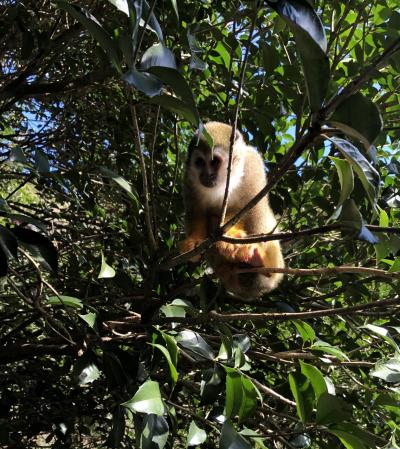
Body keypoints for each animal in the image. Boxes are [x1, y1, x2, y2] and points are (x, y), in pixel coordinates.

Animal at [181, 121, 284, 298]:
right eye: (200, 162)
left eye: (214, 162)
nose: (206, 175)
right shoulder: (189, 177)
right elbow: (197, 210)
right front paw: (194, 240)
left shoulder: (252, 164)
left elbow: (246, 207)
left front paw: (229, 236)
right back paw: (228, 269)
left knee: (259, 212)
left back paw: (262, 263)